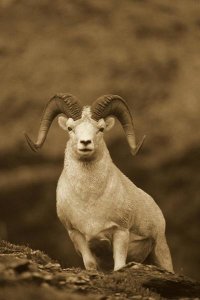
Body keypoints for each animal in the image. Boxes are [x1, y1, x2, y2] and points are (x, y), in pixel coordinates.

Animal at [25, 93, 173, 272]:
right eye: (70, 128)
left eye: (100, 129)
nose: (85, 143)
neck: (89, 201)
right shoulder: (77, 236)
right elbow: (90, 264)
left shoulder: (120, 232)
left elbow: (119, 265)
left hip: (160, 250)